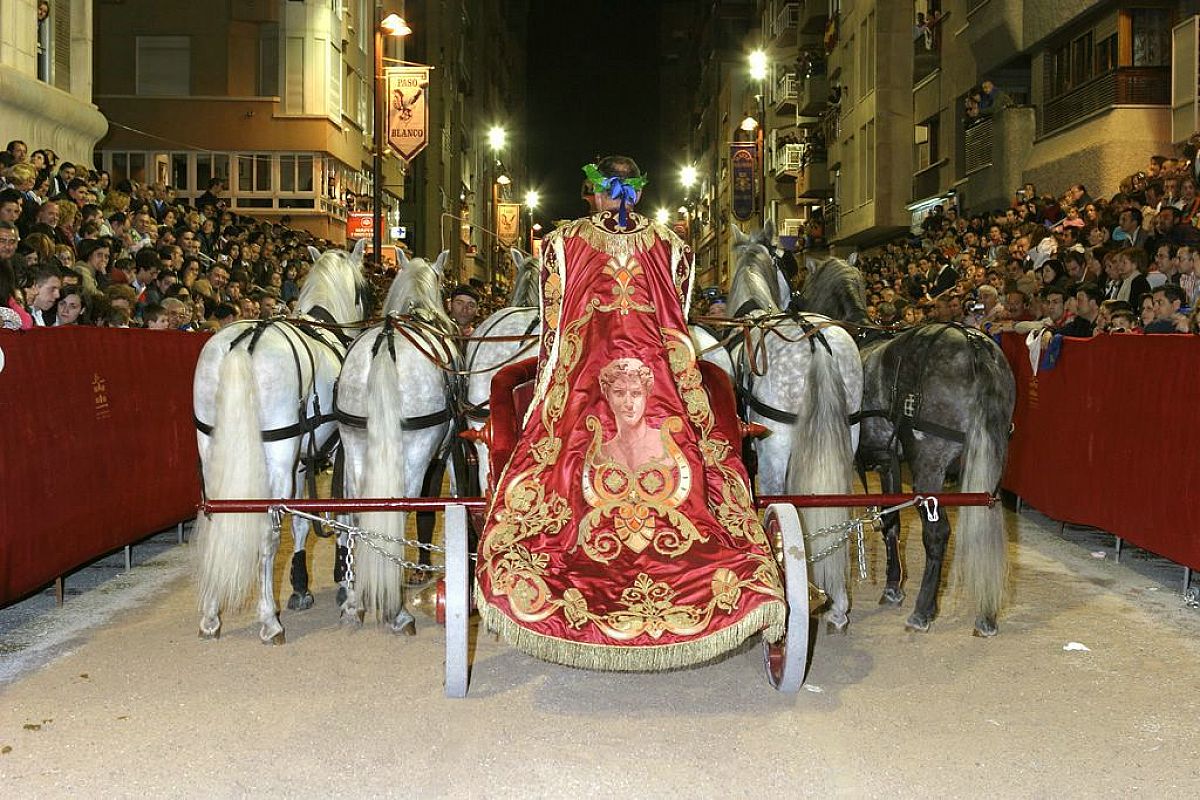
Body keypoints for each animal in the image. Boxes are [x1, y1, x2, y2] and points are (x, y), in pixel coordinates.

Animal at [194, 239, 369, 642]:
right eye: (364, 289)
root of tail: (242, 344)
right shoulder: (334, 450)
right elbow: (338, 514)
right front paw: (342, 578)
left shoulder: (301, 460)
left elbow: (302, 521)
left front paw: (301, 584)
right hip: (274, 458)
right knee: (267, 534)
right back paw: (269, 621)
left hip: (212, 452)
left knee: (215, 521)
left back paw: (210, 615)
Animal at [336, 247, 456, 633]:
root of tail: (384, 343)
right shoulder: (445, 450)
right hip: (416, 449)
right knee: (402, 505)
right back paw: (396, 610)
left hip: (355, 440)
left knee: (357, 510)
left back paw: (356, 602)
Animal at [801, 256, 1017, 638]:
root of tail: (975, 344)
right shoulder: (888, 461)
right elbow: (891, 524)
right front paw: (892, 586)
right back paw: (986, 615)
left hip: (929, 465)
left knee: (937, 533)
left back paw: (923, 610)